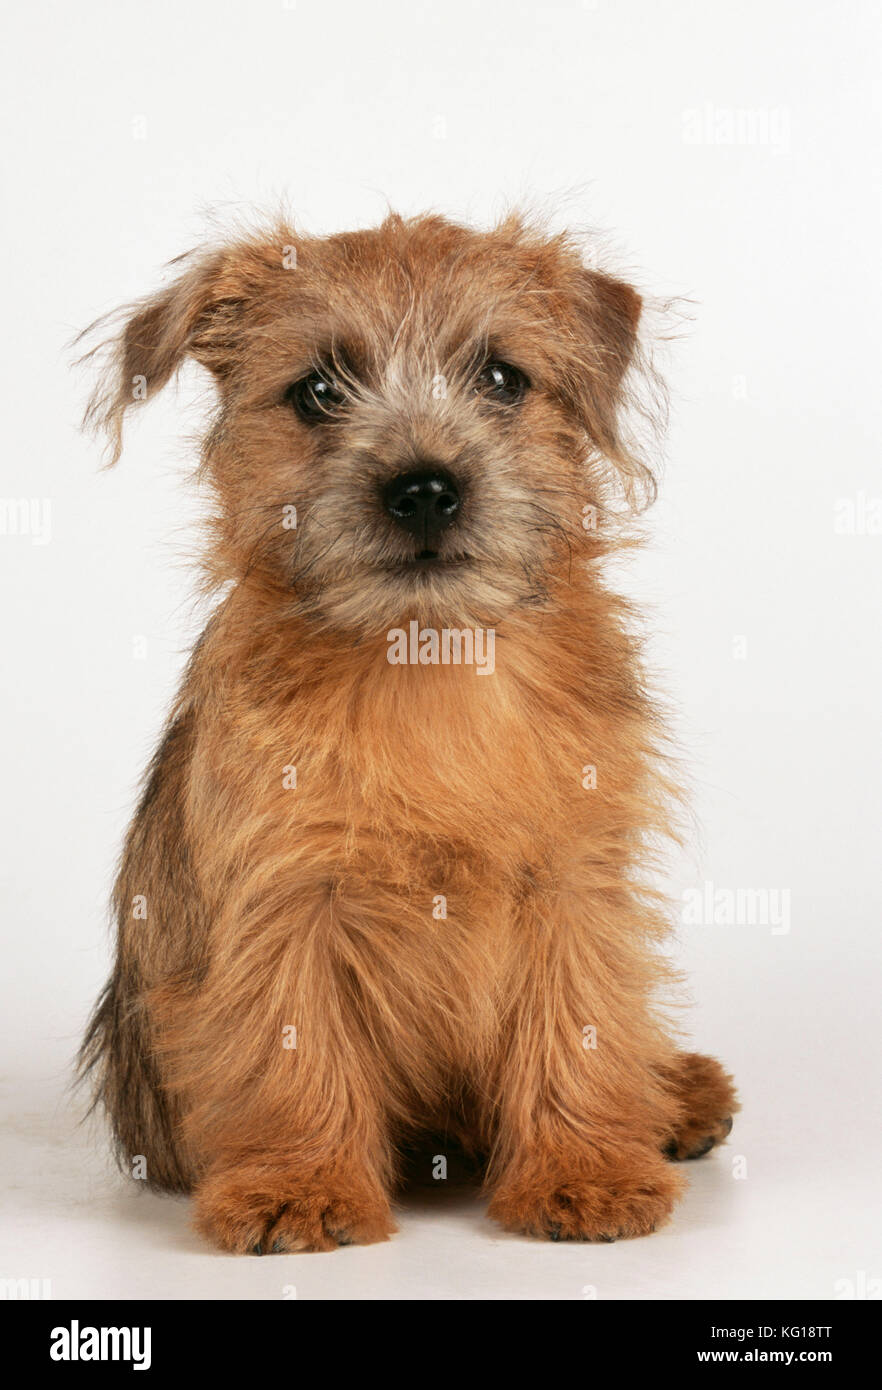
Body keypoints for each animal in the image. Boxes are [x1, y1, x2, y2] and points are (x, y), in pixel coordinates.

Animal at [81, 211, 738, 1256]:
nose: (425, 487)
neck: (425, 655)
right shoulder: (286, 897)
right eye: (316, 391)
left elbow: (581, 1019)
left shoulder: (571, 881)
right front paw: (300, 1186)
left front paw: (583, 1171)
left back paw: (676, 1094)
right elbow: (290, 1043)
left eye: (503, 378)